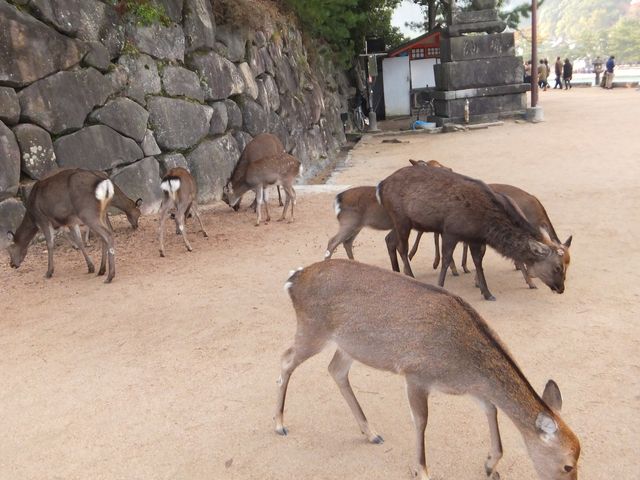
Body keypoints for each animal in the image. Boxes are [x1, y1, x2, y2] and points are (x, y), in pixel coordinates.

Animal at [276, 258, 580, 480]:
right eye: (567, 465)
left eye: (581, 455)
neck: (465, 363)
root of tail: (293, 279)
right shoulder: (416, 375)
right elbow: (421, 421)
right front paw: (421, 470)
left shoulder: (471, 388)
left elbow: (491, 409)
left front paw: (490, 465)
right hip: (312, 330)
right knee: (286, 359)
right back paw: (279, 424)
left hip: (350, 346)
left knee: (336, 370)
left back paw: (371, 433)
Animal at [376, 165, 568, 300]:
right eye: (558, 267)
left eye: (567, 265)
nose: (561, 288)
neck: (485, 224)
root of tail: (381, 185)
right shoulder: (450, 230)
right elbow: (446, 260)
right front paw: (440, 286)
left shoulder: (475, 238)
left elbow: (478, 263)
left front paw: (487, 293)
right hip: (400, 218)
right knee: (402, 247)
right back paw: (410, 275)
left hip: (403, 221)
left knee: (389, 239)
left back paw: (396, 273)